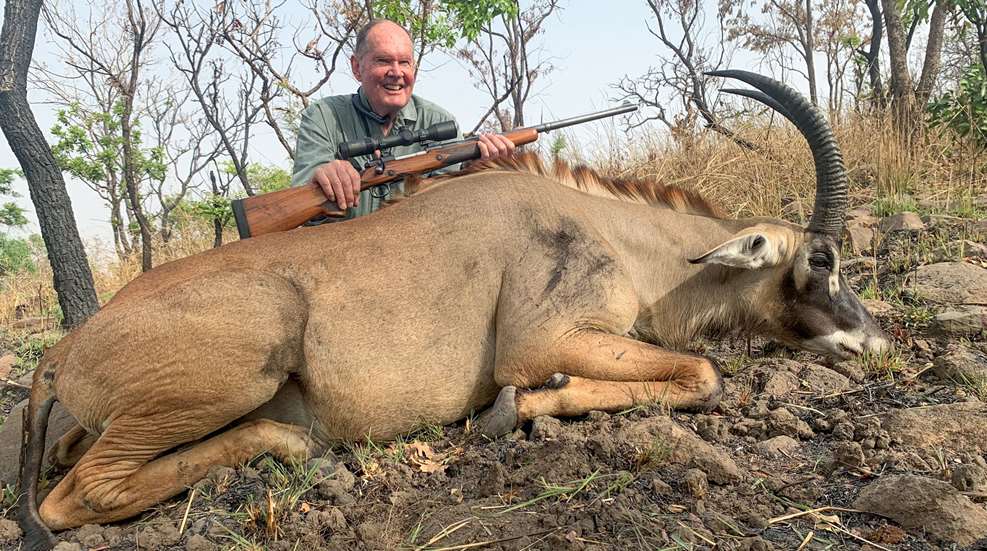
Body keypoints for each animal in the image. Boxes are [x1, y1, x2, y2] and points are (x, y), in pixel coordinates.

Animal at [19, 71, 888, 549]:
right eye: (819, 261)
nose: (873, 339)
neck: (612, 230)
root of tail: (61, 351)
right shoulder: (542, 340)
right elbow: (701, 371)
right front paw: (520, 407)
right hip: (239, 367)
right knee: (80, 494)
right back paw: (286, 442)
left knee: (71, 458)